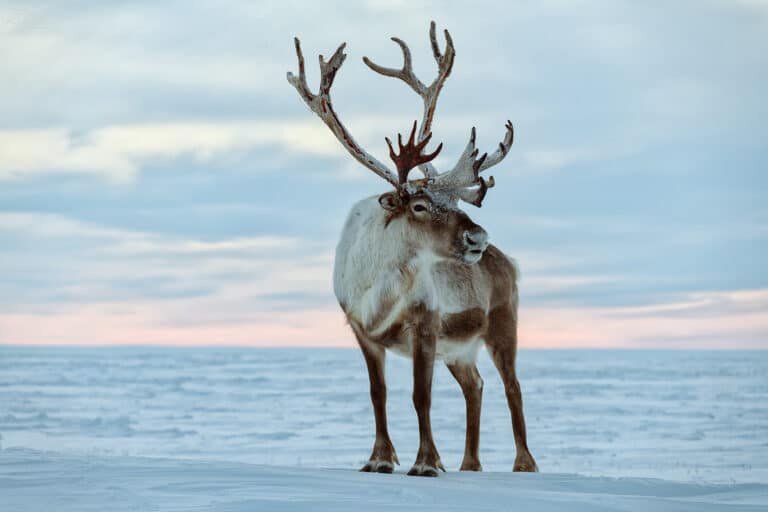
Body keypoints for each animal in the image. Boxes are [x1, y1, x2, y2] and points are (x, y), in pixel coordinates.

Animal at [287, 21, 537, 477]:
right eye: (419, 205)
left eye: (454, 202)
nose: (478, 238)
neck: (378, 288)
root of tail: (510, 262)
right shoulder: (361, 329)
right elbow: (378, 394)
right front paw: (379, 459)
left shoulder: (427, 323)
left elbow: (422, 397)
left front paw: (426, 463)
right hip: (459, 351)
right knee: (476, 385)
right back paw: (469, 463)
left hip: (502, 323)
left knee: (513, 386)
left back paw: (524, 463)